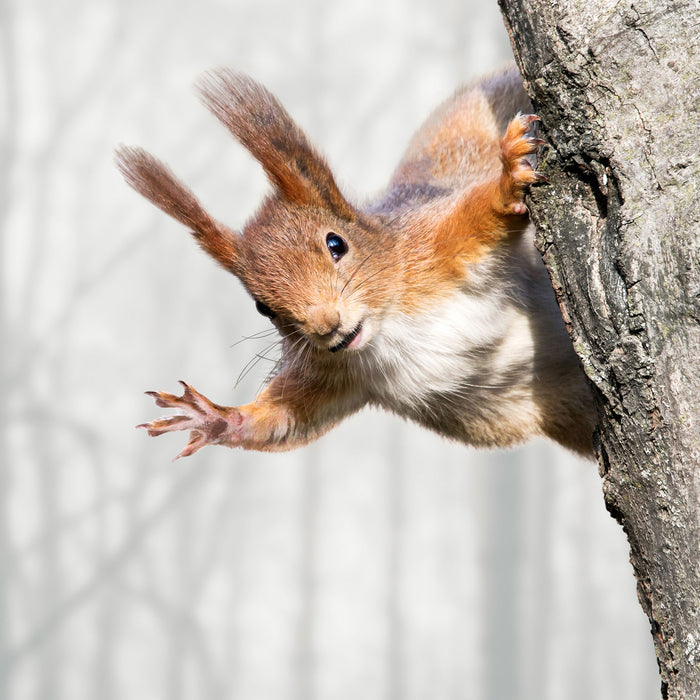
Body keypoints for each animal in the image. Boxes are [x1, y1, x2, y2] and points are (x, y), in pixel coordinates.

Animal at [116, 64, 596, 460]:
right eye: (261, 307)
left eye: (336, 244)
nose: (326, 327)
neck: (388, 327)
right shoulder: (333, 373)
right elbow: (286, 420)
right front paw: (215, 417)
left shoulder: (432, 246)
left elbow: (479, 214)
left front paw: (507, 179)